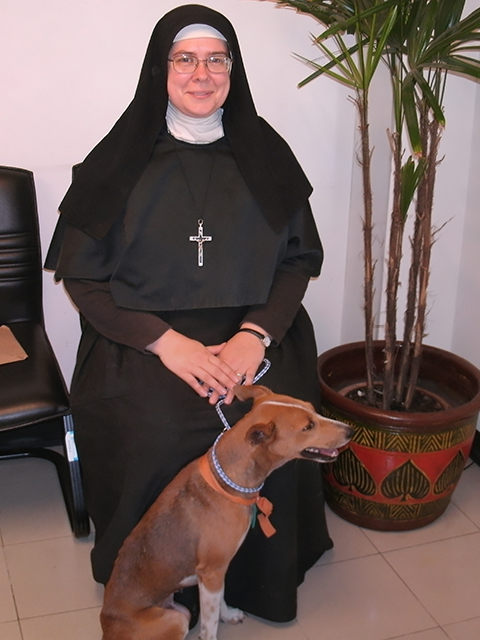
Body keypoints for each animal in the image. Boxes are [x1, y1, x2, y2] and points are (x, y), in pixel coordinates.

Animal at [100, 384, 352, 640]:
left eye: (312, 409)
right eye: (307, 426)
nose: (350, 430)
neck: (227, 479)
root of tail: (107, 630)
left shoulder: (216, 573)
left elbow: (220, 601)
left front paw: (228, 615)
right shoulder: (212, 572)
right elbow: (209, 624)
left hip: (179, 610)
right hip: (176, 619)